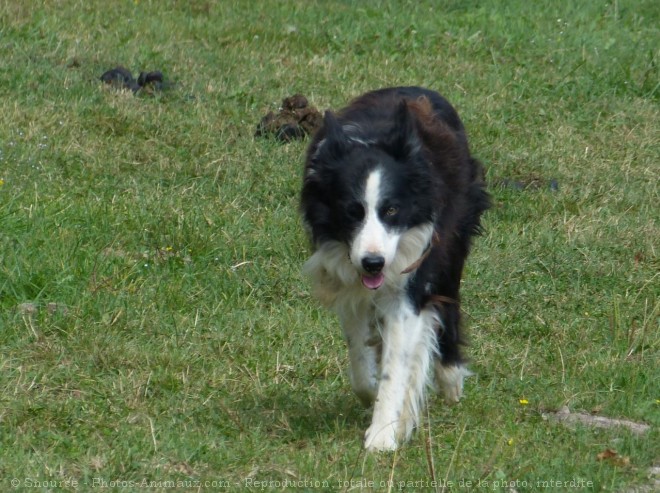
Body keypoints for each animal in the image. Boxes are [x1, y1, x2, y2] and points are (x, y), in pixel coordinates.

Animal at [300, 85, 490, 450]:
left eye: (391, 210)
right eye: (351, 212)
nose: (373, 263)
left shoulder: (411, 274)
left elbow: (398, 362)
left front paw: (383, 436)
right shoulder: (348, 274)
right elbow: (359, 354)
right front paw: (373, 393)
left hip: (455, 236)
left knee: (450, 298)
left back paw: (450, 378)